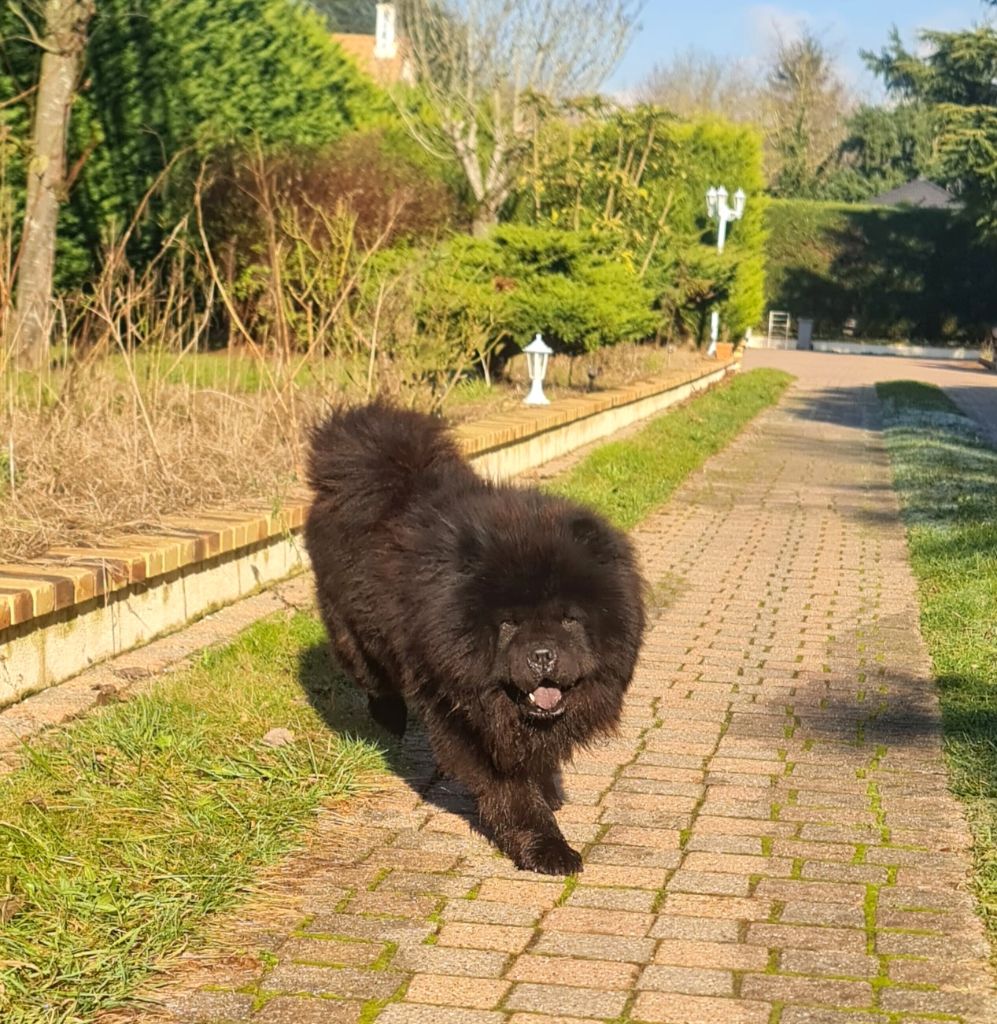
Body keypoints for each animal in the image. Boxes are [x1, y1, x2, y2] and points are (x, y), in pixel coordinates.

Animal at [305, 399, 646, 872]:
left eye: (568, 619)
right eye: (509, 623)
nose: (542, 655)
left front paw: (548, 790)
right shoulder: (461, 714)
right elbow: (512, 791)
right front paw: (548, 848)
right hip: (353, 631)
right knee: (371, 675)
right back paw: (390, 718)